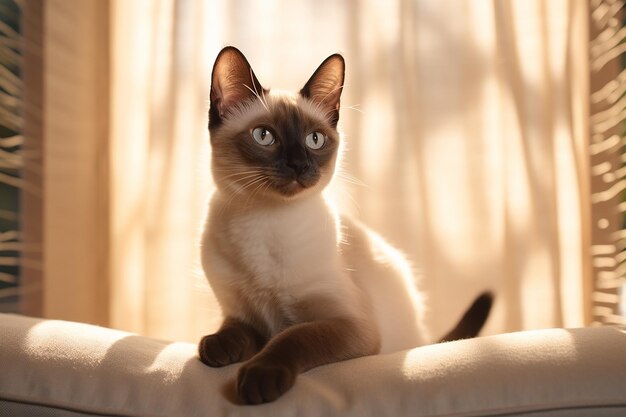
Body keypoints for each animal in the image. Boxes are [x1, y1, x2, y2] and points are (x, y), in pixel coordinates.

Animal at [197, 45, 490, 404]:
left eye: (315, 140)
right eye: (264, 136)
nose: (299, 165)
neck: (264, 221)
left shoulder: (350, 325)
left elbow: (294, 337)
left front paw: (258, 379)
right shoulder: (240, 312)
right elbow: (233, 331)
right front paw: (216, 348)